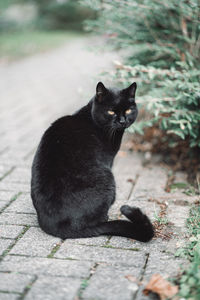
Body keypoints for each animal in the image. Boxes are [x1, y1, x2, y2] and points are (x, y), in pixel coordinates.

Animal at [31, 81, 154, 241]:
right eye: (111, 112)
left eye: (128, 110)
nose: (122, 121)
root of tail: (57, 225)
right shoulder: (108, 161)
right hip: (108, 178)